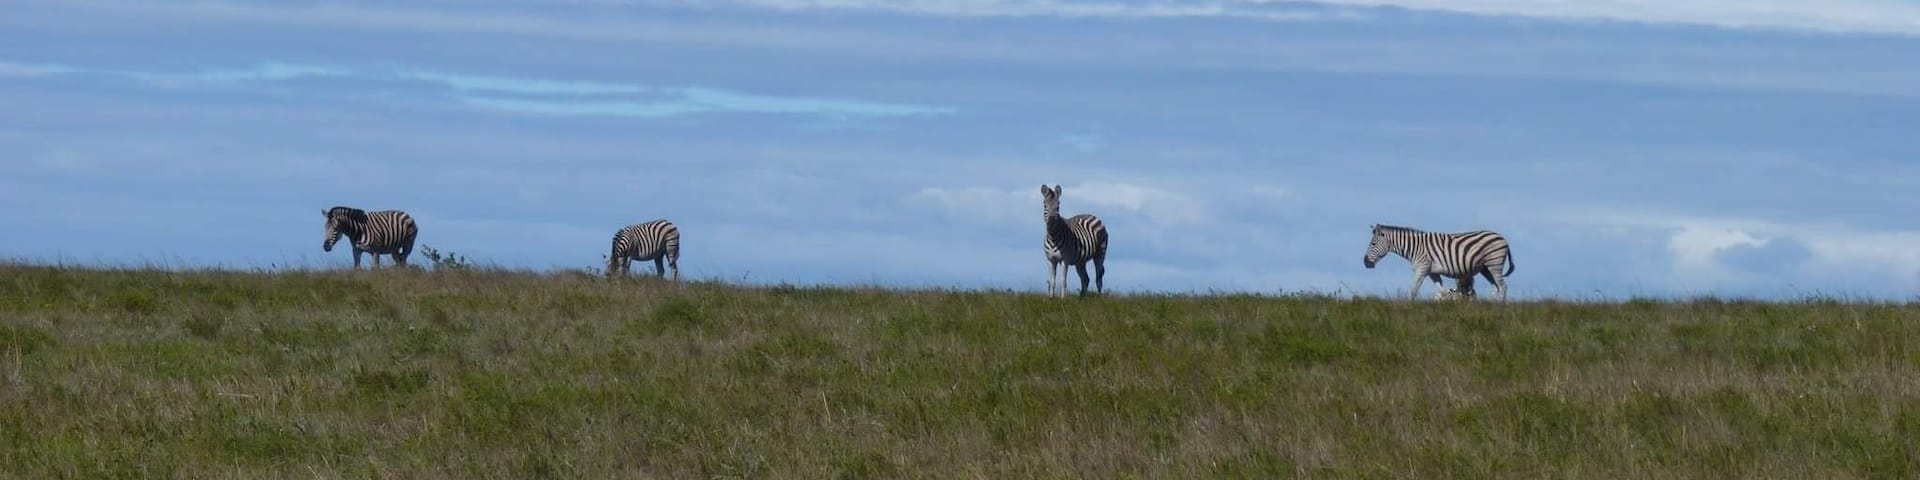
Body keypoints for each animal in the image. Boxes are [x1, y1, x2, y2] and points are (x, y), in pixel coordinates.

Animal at [1363, 224, 1515, 301]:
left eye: (1373, 244)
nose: (1365, 263)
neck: (1414, 248)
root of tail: (1503, 239)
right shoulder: (1432, 272)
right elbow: (1442, 292)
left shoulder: (1422, 268)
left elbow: (1414, 290)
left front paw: (1410, 306)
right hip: (1485, 268)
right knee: (1496, 288)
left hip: (1494, 264)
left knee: (1503, 287)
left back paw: (1500, 308)